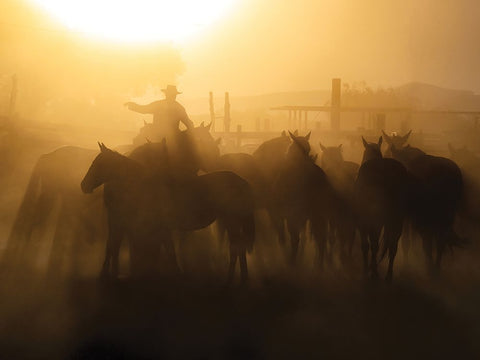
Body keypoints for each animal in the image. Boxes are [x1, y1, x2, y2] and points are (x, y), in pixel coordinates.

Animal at [81, 142, 258, 282]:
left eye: (99, 164)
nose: (84, 185)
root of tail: (243, 182)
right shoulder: (161, 228)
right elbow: (168, 250)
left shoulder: (162, 227)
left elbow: (169, 251)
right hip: (231, 221)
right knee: (239, 248)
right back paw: (242, 278)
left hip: (232, 221)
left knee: (235, 248)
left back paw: (230, 280)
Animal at [354, 136, 406, 282]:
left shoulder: (363, 222)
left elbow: (366, 245)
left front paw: (367, 270)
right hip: (397, 219)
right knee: (393, 246)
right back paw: (388, 275)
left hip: (377, 219)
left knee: (375, 244)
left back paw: (374, 272)